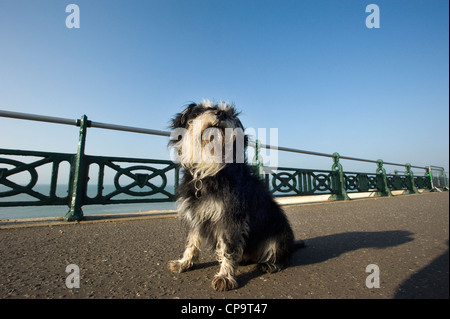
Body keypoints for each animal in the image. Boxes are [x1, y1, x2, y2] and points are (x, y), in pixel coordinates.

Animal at [167, 100, 300, 292]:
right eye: (203, 108)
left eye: (230, 114)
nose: (221, 114)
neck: (209, 170)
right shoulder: (197, 215)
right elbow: (191, 243)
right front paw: (184, 263)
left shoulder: (231, 218)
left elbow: (228, 248)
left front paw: (225, 276)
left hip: (279, 234)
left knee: (282, 255)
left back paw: (270, 264)